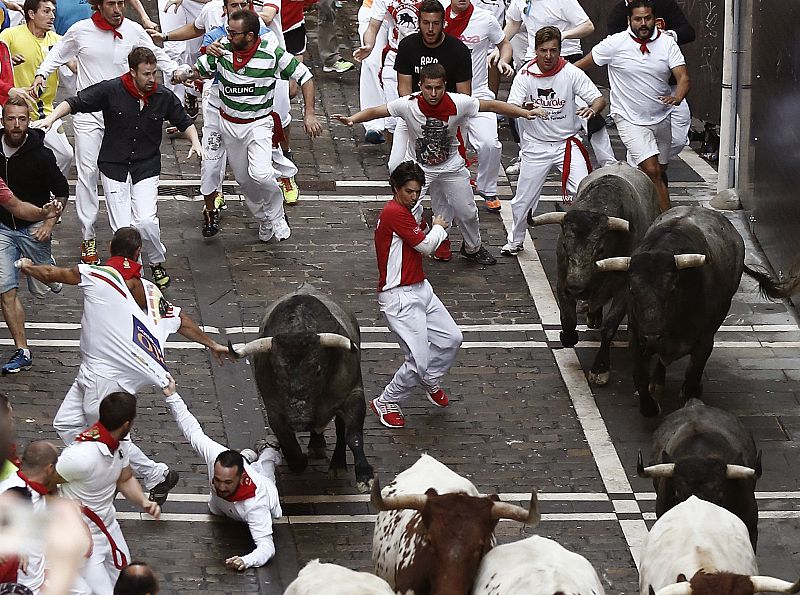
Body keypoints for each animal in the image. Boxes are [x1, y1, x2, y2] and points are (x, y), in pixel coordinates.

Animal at [227, 284, 374, 494]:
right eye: (278, 373)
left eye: (318, 370)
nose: (299, 420)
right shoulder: (274, 410)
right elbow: (288, 442)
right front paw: (298, 460)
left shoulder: (353, 395)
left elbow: (352, 436)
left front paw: (364, 476)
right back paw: (316, 445)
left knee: (340, 429)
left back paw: (337, 464)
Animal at [528, 163, 660, 386]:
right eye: (565, 245)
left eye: (600, 250)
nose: (576, 288)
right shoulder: (562, 281)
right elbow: (568, 319)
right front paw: (568, 336)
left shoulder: (625, 289)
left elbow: (610, 326)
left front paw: (600, 368)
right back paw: (592, 314)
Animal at [596, 207, 792, 416]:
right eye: (632, 290)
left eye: (672, 290)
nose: (652, 338)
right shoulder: (636, 335)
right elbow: (639, 375)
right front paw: (650, 406)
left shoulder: (704, 341)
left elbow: (692, 375)